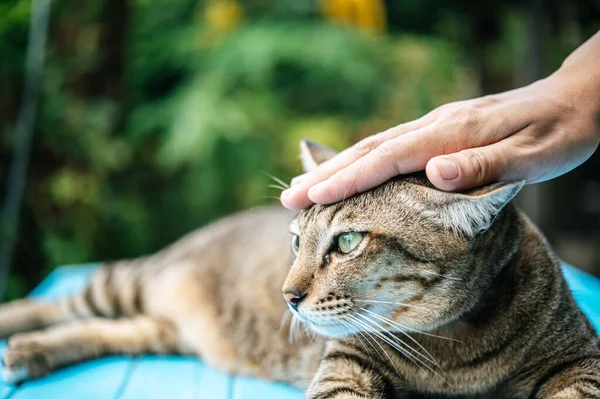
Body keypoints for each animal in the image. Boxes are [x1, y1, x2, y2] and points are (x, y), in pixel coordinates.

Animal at [1, 139, 600, 398]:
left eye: (348, 241)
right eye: (295, 241)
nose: (285, 296)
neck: (452, 350)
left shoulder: (580, 359)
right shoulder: (345, 363)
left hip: (161, 329)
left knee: (112, 330)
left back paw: (31, 353)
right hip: (129, 282)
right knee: (59, 301)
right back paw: (17, 333)